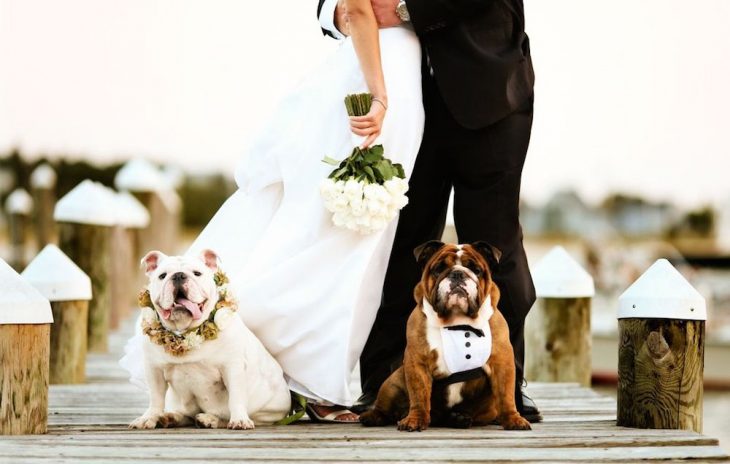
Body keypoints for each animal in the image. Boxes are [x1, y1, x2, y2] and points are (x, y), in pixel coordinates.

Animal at [128, 248, 290, 430]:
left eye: (197, 273)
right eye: (162, 276)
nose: (178, 276)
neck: (184, 332)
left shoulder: (232, 368)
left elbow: (236, 397)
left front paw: (239, 419)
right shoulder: (154, 369)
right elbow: (155, 398)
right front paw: (148, 417)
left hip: (268, 410)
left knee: (238, 416)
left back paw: (211, 419)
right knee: (187, 415)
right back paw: (171, 417)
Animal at [358, 241, 528, 434]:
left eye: (476, 270)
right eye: (439, 269)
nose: (458, 273)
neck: (458, 321)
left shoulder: (502, 362)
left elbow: (506, 395)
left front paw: (513, 419)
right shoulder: (417, 362)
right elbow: (419, 396)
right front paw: (415, 420)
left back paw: (459, 418)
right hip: (393, 382)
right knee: (384, 406)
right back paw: (373, 416)